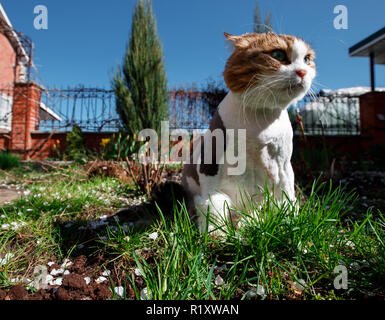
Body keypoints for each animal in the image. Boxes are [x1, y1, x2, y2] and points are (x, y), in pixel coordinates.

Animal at [180, 31, 316, 232]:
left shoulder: (284, 165)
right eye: (278, 54)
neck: (261, 120)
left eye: (307, 59)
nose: (303, 71)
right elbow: (213, 204)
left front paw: (289, 224)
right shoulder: (211, 163)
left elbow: (287, 197)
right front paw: (215, 234)